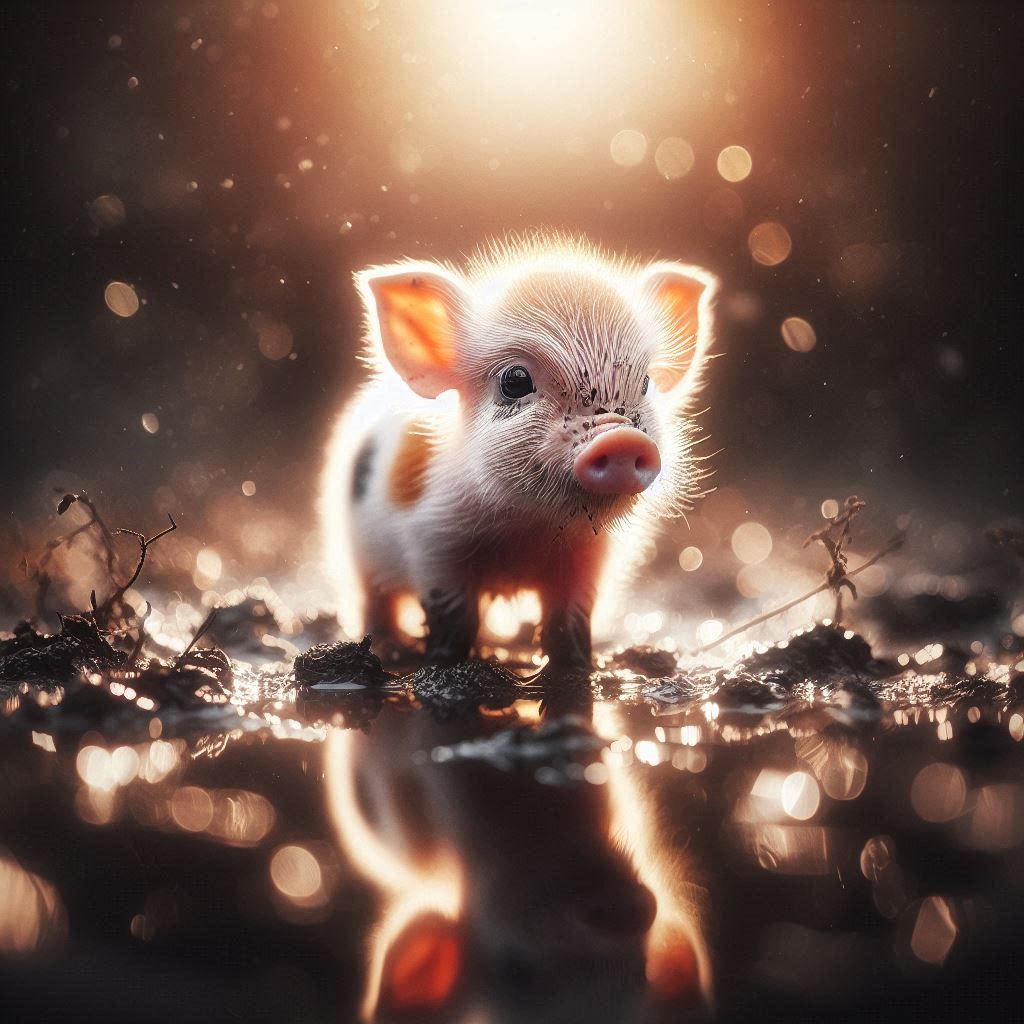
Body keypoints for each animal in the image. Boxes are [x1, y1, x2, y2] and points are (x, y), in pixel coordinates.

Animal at [321, 234, 718, 668]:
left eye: (645, 383)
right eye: (514, 380)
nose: (620, 438)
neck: (528, 527)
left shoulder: (589, 555)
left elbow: (570, 618)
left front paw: (577, 666)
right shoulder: (432, 540)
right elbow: (453, 616)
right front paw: (443, 663)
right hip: (354, 550)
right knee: (374, 599)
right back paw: (388, 646)